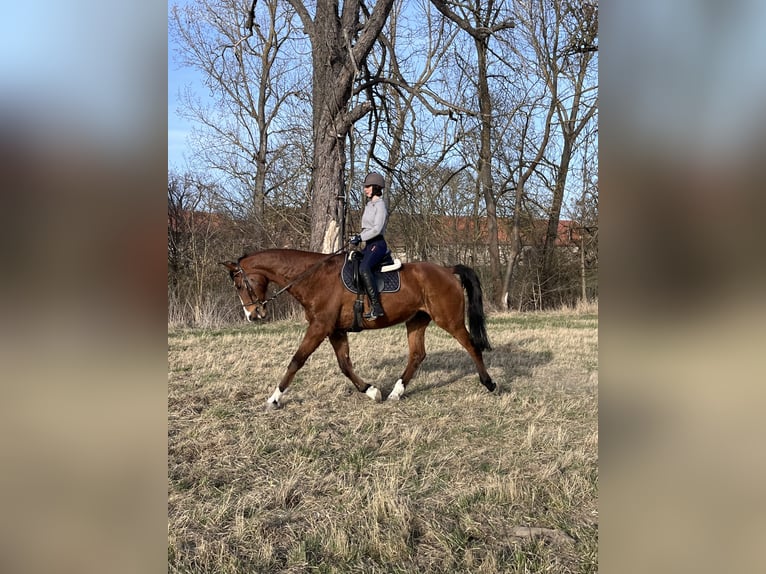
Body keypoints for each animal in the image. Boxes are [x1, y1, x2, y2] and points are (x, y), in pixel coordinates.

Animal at [221, 249, 495, 409]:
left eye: (238, 285)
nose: (253, 315)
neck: (314, 277)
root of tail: (447, 270)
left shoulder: (319, 327)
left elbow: (297, 360)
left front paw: (274, 398)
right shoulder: (334, 330)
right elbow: (344, 365)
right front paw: (371, 391)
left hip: (449, 320)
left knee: (472, 346)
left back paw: (490, 383)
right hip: (417, 320)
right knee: (417, 355)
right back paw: (396, 393)